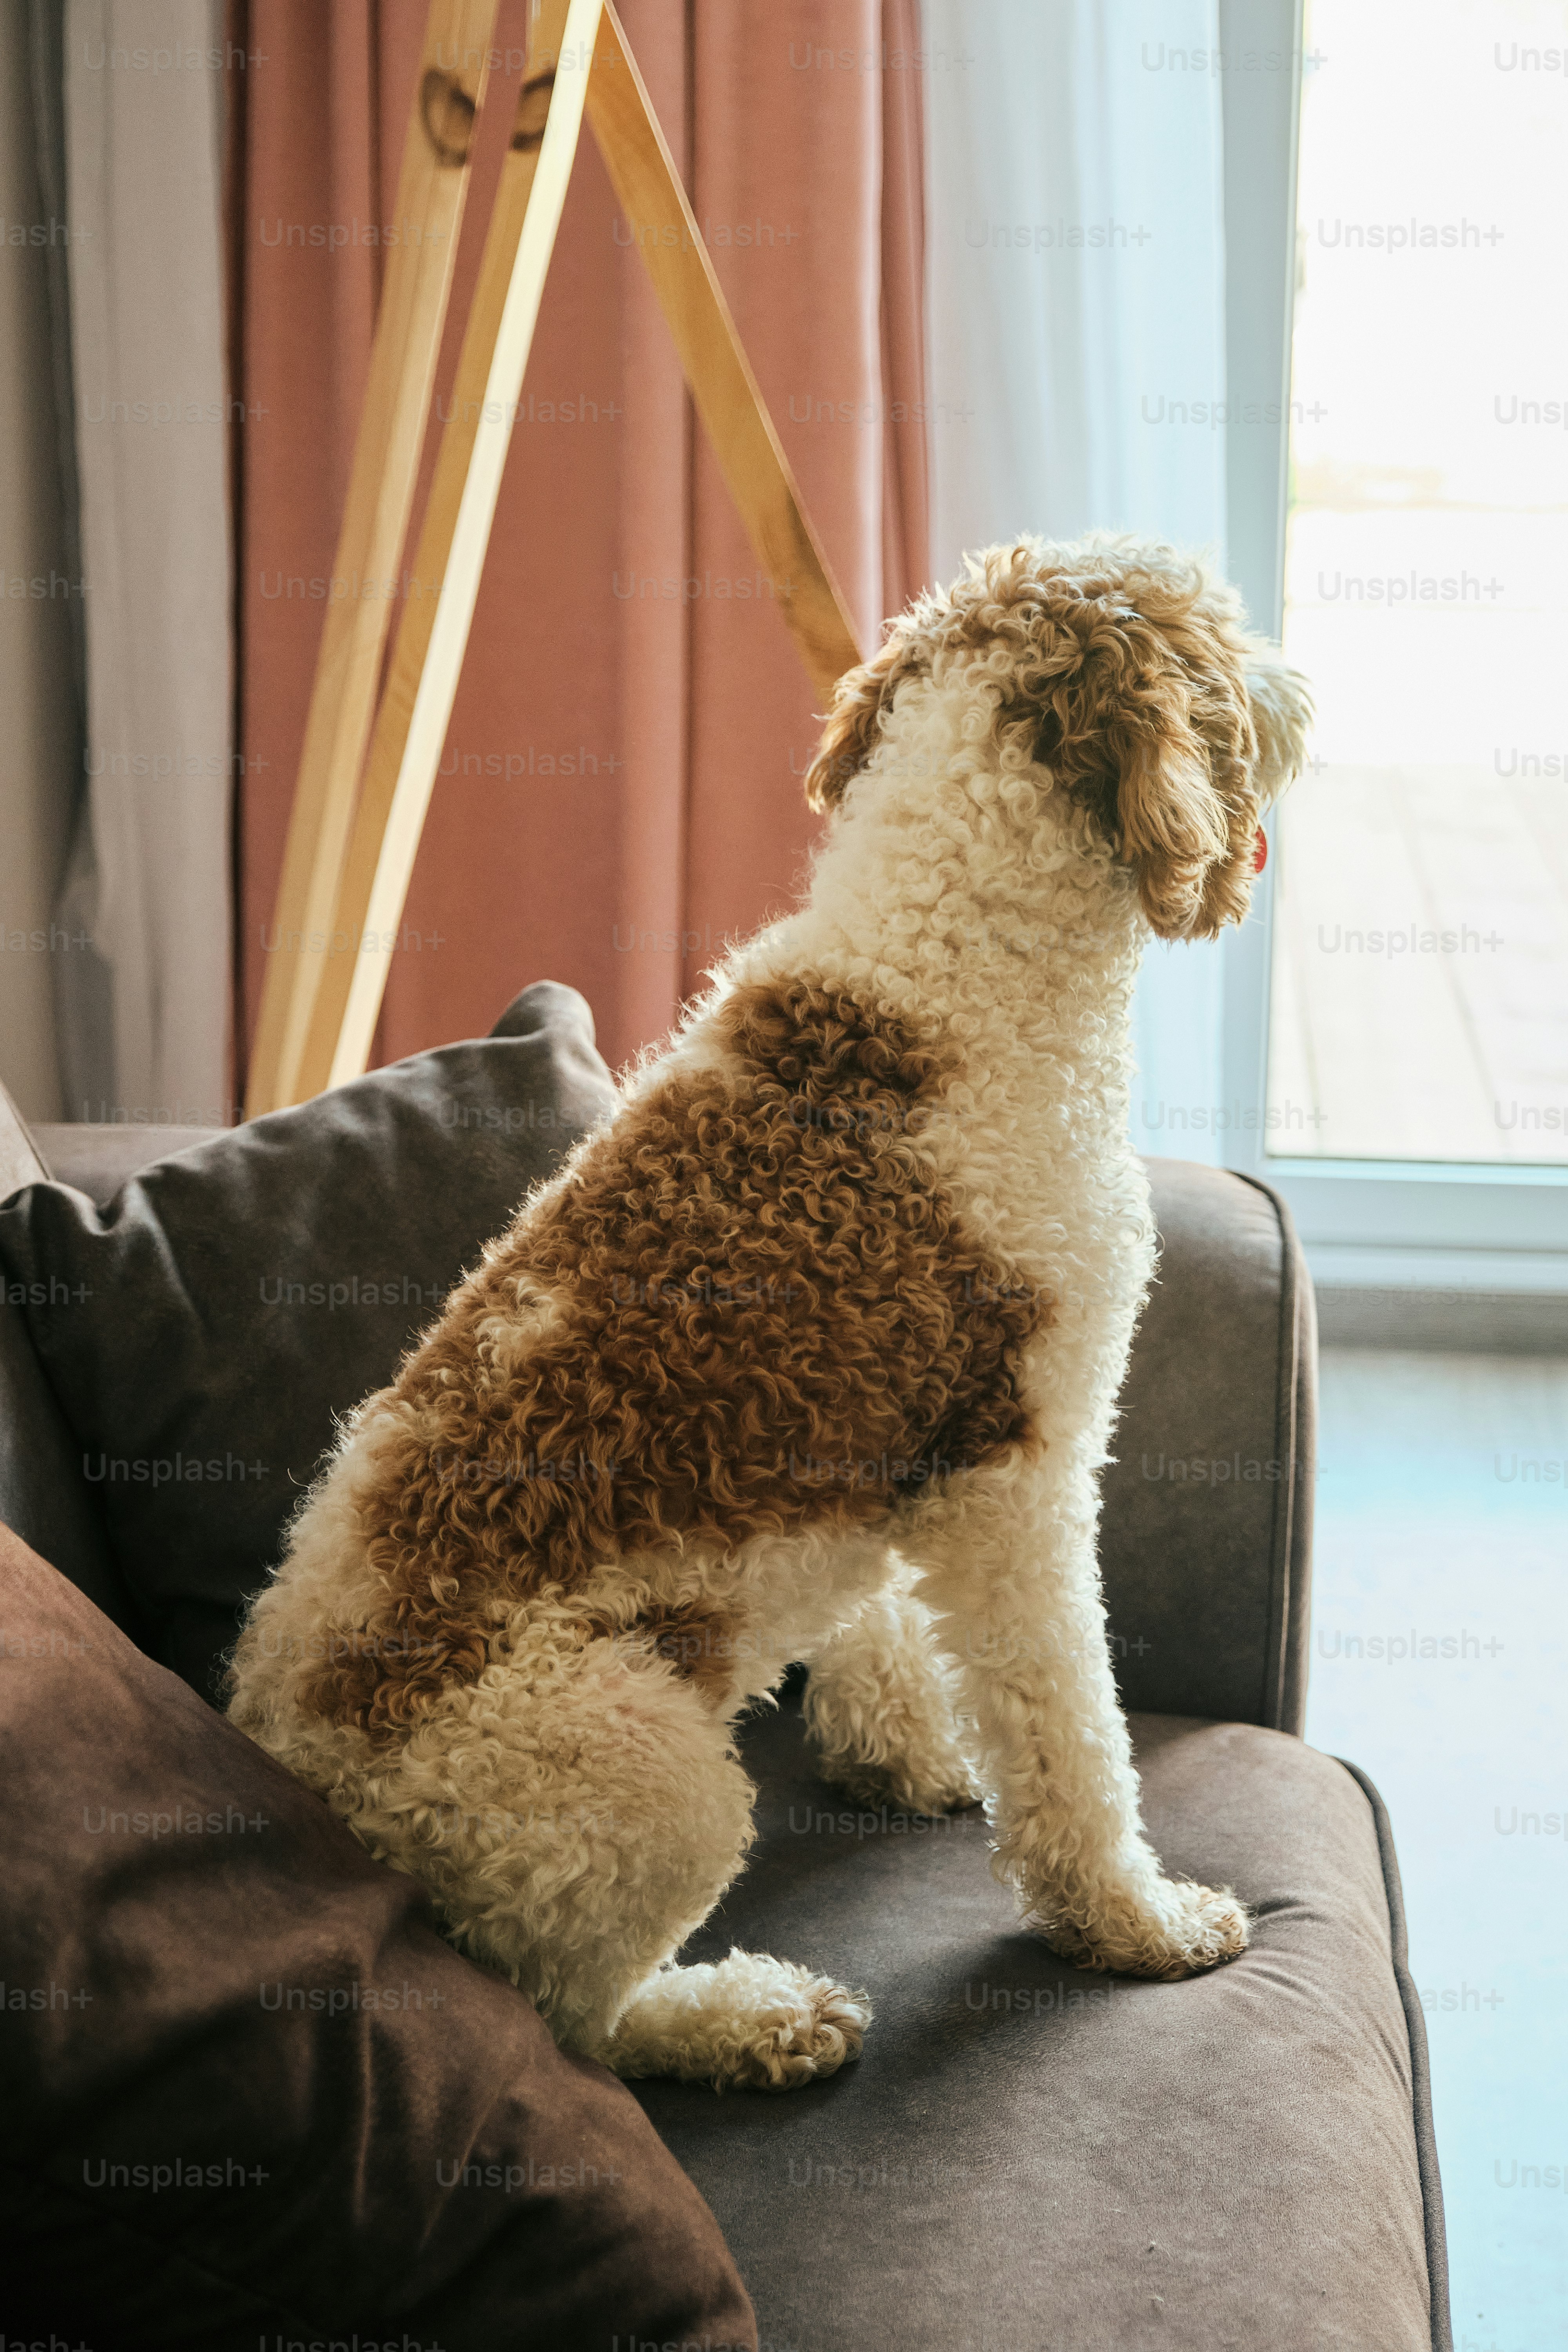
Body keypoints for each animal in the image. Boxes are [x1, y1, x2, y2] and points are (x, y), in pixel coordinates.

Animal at [230, 539, 1316, 2098]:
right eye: (1222, 640)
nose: (1304, 685)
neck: (944, 950)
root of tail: (290, 1757)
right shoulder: (1020, 1471)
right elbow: (1070, 1733)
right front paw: (1132, 1919)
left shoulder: (895, 1457)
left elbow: (882, 1614)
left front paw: (902, 1750)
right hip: (641, 1764)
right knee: (574, 2016)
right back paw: (749, 2014)